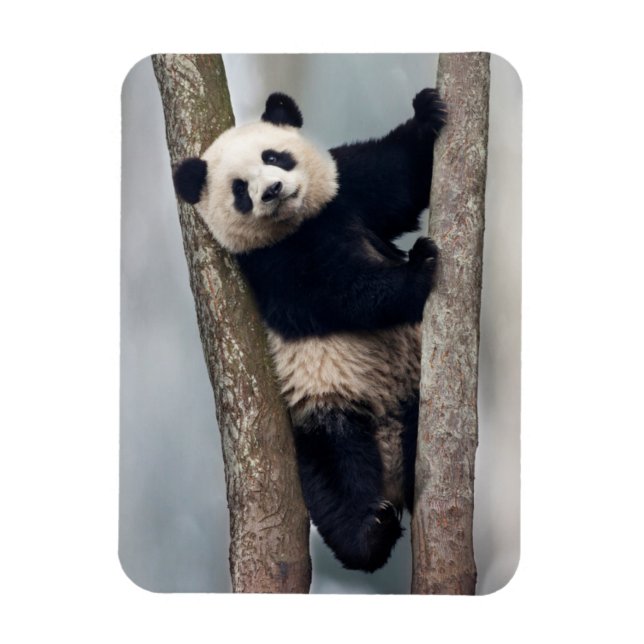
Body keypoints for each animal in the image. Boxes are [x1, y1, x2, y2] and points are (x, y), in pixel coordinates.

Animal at [173, 89, 446, 572]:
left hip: (413, 386)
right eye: (239, 189)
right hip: (324, 411)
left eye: (274, 156)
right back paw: (370, 531)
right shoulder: (271, 266)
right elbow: (337, 294)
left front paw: (427, 112)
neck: (300, 224)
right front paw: (419, 269)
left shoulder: (346, 192)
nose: (271, 191)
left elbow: (396, 177)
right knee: (336, 476)